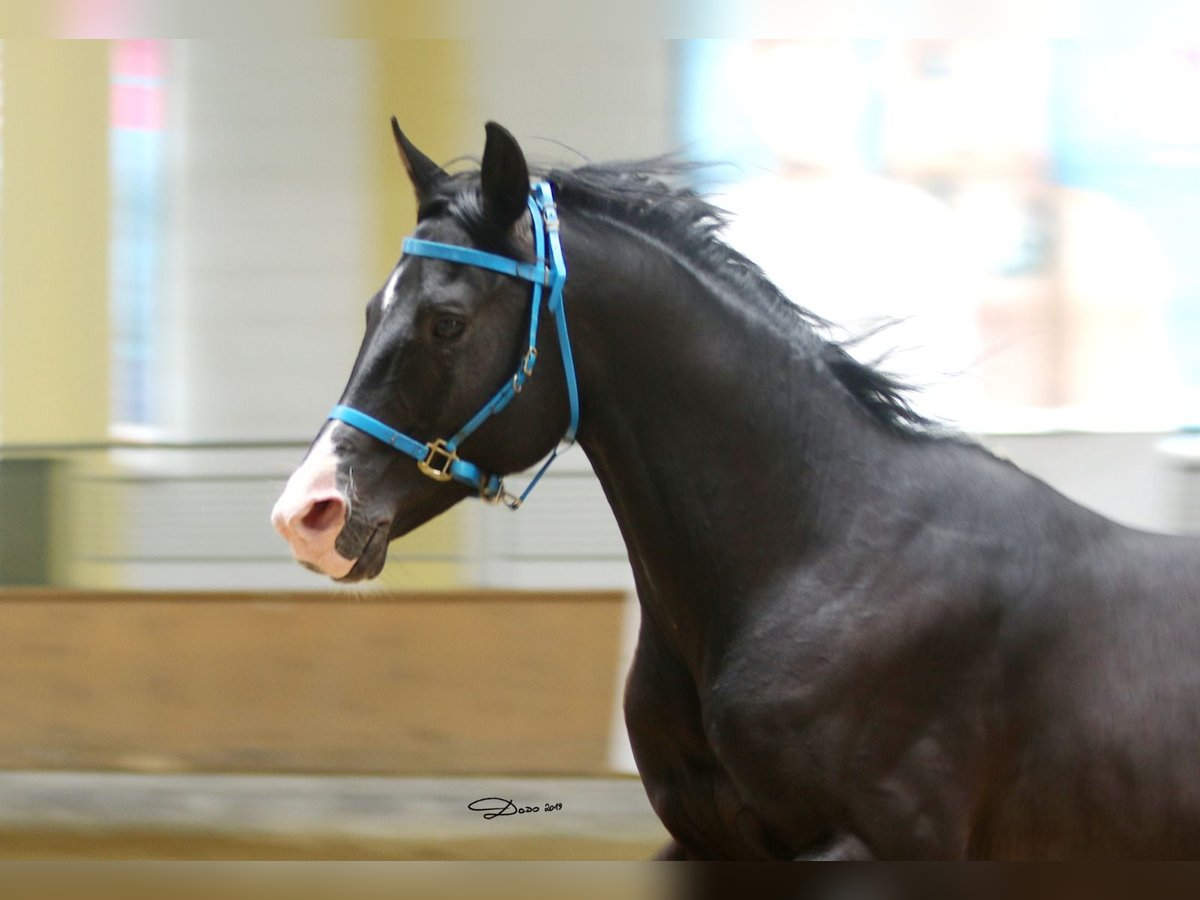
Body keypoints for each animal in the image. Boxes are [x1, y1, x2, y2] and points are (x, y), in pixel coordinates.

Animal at [272, 120, 1200, 859]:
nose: (308, 513)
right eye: (372, 309)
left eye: (448, 322)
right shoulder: (704, 841)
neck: (816, 559)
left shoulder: (882, 844)